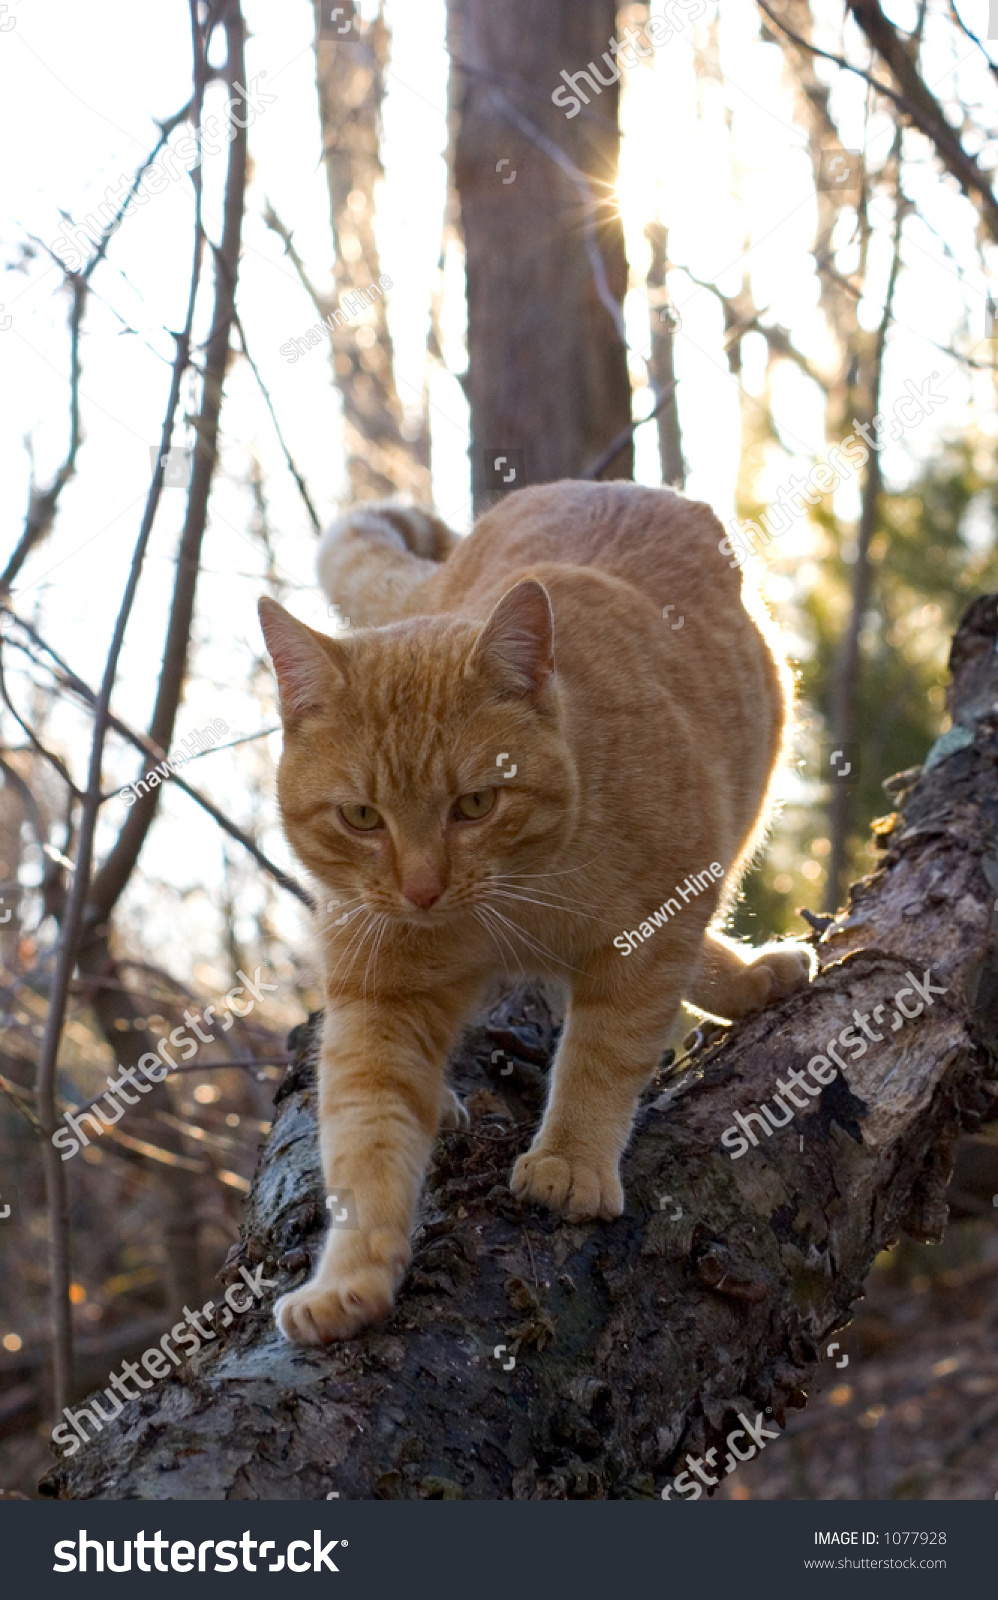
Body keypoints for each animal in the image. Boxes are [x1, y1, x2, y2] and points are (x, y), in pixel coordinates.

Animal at [255, 480, 812, 1344]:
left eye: (475, 805)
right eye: (362, 818)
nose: (421, 890)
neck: (508, 910)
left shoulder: (652, 929)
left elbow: (603, 1054)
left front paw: (570, 1162)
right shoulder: (379, 997)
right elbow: (365, 1137)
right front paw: (348, 1282)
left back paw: (754, 976)